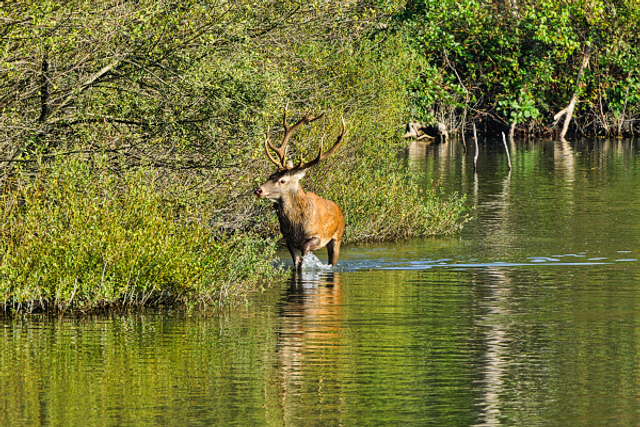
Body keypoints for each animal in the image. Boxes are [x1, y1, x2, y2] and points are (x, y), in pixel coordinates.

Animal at [255, 110, 346, 268]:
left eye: (282, 180)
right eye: (271, 175)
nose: (258, 190)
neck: (296, 228)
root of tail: (339, 210)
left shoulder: (317, 235)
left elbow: (305, 248)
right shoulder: (288, 240)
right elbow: (296, 263)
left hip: (337, 237)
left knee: (333, 261)